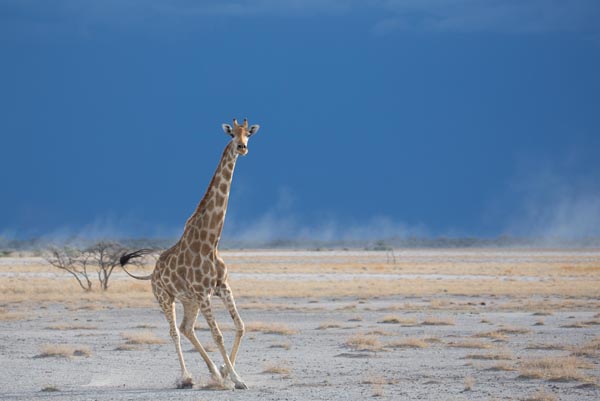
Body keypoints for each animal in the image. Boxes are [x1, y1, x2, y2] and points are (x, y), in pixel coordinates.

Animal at [120, 118, 262, 388]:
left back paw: (213, 372)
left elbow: (240, 326)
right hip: (165, 298)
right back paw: (186, 377)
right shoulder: (203, 293)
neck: (210, 241)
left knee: (187, 328)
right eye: (232, 134)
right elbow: (217, 335)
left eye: (248, 134)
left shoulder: (221, 287)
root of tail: (151, 273)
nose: (242, 148)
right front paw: (236, 379)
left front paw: (224, 372)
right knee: (175, 332)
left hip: (189, 300)